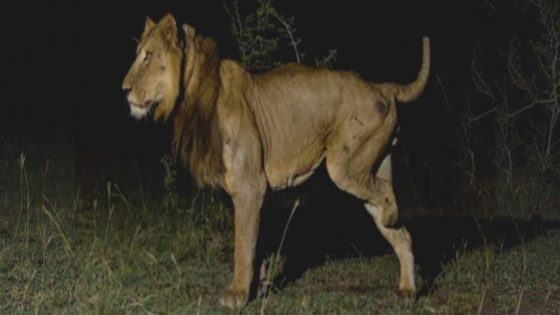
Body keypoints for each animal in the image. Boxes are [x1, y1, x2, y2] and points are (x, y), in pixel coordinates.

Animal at [121, 13, 428, 308]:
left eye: (148, 56)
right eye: (138, 54)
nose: (124, 89)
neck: (194, 93)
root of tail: (381, 86)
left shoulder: (249, 186)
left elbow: (243, 245)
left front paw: (237, 294)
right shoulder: (256, 190)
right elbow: (259, 244)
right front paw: (259, 288)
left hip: (345, 166)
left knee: (386, 195)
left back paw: (392, 218)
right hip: (370, 167)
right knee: (403, 234)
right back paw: (407, 290)